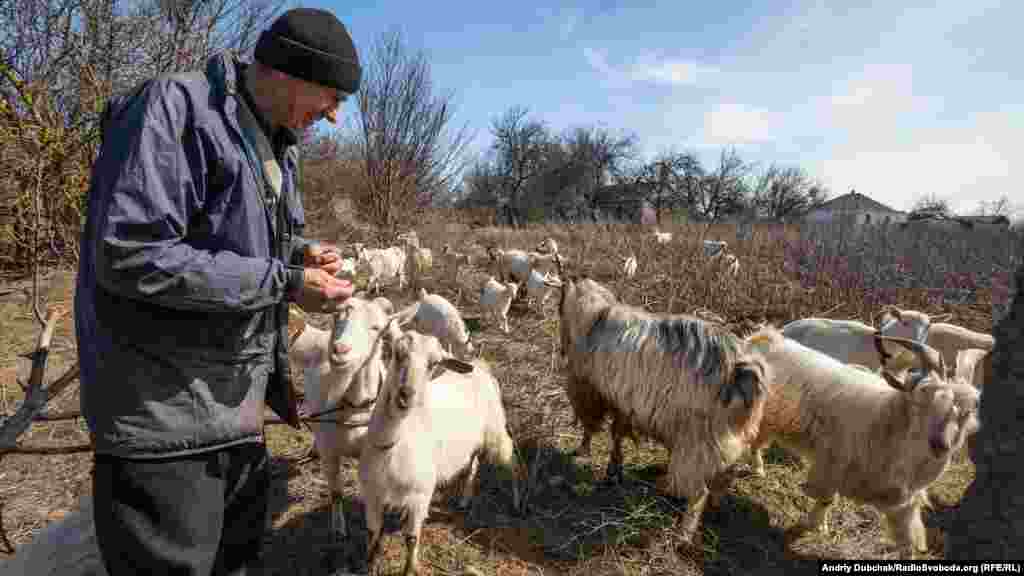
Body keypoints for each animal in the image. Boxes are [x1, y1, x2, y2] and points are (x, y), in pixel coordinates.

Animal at [292, 295, 395, 537]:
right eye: (338, 317)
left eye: (376, 328)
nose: (340, 350)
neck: (356, 408)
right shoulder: (331, 453)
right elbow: (336, 492)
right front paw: (338, 528)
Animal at [360, 327, 520, 573]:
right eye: (397, 353)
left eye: (433, 364)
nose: (406, 395)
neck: (393, 442)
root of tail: (479, 366)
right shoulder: (372, 492)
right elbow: (373, 532)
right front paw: (370, 564)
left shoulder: (420, 495)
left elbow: (411, 539)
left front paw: (410, 570)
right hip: (470, 441)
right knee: (472, 463)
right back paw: (464, 500)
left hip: (495, 430)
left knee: (511, 460)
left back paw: (517, 504)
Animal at [561, 272, 770, 541]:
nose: (562, 349)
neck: (596, 316)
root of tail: (742, 373)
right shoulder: (622, 401)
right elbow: (617, 433)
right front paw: (613, 470)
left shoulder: (591, 390)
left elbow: (593, 425)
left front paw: (584, 453)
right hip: (726, 439)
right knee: (721, 477)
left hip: (698, 439)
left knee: (699, 491)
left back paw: (684, 532)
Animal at [745, 327, 974, 557]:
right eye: (919, 403)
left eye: (964, 413)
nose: (941, 445)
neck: (887, 422)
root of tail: (765, 336)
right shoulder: (831, 465)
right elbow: (825, 500)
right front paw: (817, 526)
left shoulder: (903, 502)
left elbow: (907, 540)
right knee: (753, 442)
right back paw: (756, 469)